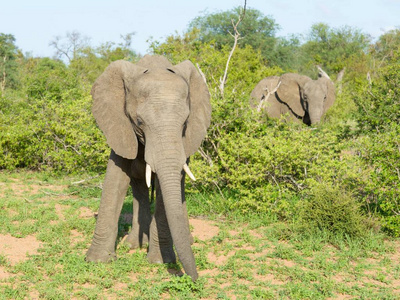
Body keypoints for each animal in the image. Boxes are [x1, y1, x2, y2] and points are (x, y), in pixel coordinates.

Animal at [85, 54, 212, 282]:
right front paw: (97, 261)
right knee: (140, 189)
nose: (195, 279)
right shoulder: (120, 126)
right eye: (139, 121)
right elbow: (115, 180)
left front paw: (160, 261)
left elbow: (166, 188)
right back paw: (133, 245)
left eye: (185, 123)